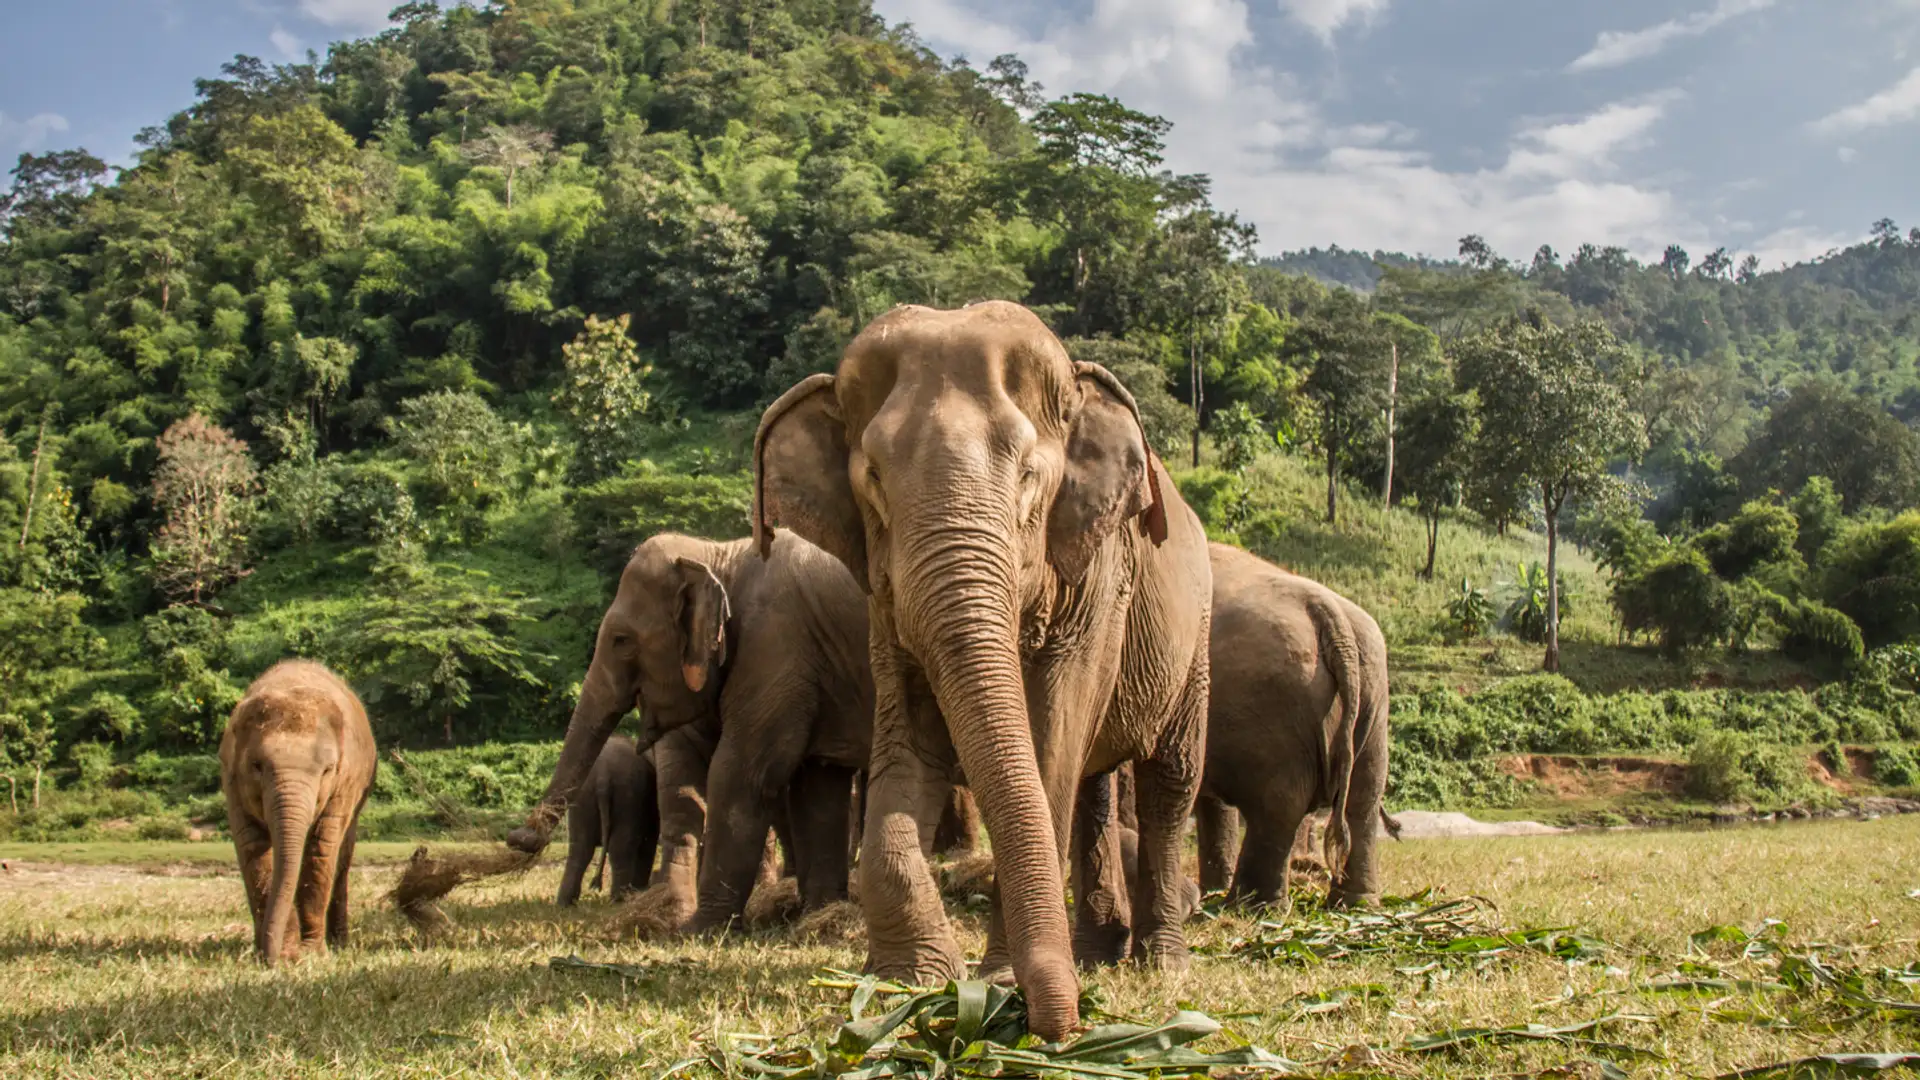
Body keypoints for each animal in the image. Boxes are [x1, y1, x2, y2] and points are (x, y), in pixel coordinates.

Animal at [219, 660, 377, 965]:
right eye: (256, 766)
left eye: (328, 770)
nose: (270, 958)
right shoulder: (232, 783)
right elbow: (253, 849)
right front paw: (285, 953)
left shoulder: (345, 784)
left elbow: (322, 849)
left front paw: (312, 953)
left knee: (342, 856)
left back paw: (340, 943)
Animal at [507, 530, 875, 933]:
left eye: (621, 640)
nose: (519, 837)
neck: (720, 553)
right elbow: (815, 787)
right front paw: (819, 918)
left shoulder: (777, 649)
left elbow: (740, 775)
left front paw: (697, 930)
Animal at [754, 300, 1214, 1040]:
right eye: (873, 478)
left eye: (1028, 474)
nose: (1061, 1024)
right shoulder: (885, 600)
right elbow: (908, 741)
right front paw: (910, 982)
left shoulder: (1098, 577)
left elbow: (1051, 741)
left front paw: (995, 980)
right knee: (1093, 786)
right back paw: (1096, 954)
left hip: (1194, 635)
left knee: (1169, 779)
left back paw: (1161, 963)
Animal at [1192, 543, 1393, 910]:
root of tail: (1331, 619)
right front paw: (1209, 890)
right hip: (1373, 697)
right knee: (1365, 796)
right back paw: (1355, 904)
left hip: (1270, 707)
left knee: (1278, 803)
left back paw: (1251, 905)